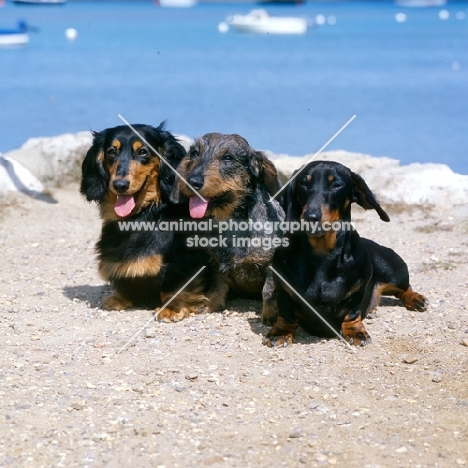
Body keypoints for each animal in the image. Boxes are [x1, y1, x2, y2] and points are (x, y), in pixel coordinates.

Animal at [81, 122, 207, 316]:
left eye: (143, 152)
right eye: (111, 151)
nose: (120, 185)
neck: (146, 214)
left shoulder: (185, 262)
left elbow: (173, 285)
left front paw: (171, 308)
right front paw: (119, 298)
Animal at [169, 133, 286, 320]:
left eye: (228, 158)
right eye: (195, 153)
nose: (192, 182)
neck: (231, 224)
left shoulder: (271, 265)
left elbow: (268, 291)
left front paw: (270, 317)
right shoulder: (217, 264)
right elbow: (217, 287)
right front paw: (209, 305)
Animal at [264, 161, 428, 348]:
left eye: (336, 184)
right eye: (304, 183)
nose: (311, 216)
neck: (321, 253)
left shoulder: (359, 289)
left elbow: (352, 312)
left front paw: (355, 331)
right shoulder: (282, 289)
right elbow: (286, 313)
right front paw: (281, 332)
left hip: (395, 273)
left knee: (405, 288)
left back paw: (415, 298)